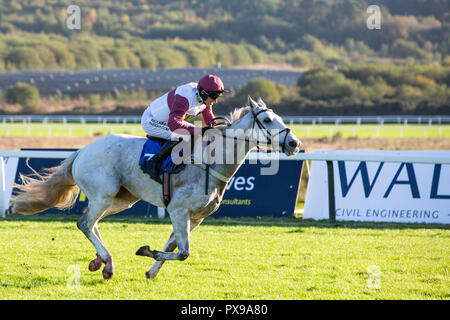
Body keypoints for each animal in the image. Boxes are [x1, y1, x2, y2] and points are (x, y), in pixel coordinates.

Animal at [11, 96, 302, 278]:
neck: (210, 162)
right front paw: (146, 251)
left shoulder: (195, 217)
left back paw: (101, 261)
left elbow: (173, 247)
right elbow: (183, 252)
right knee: (85, 223)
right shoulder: (178, 210)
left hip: (120, 199)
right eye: (267, 121)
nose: (294, 144)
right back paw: (107, 264)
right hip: (103, 195)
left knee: (92, 223)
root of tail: (82, 150)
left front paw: (151, 270)